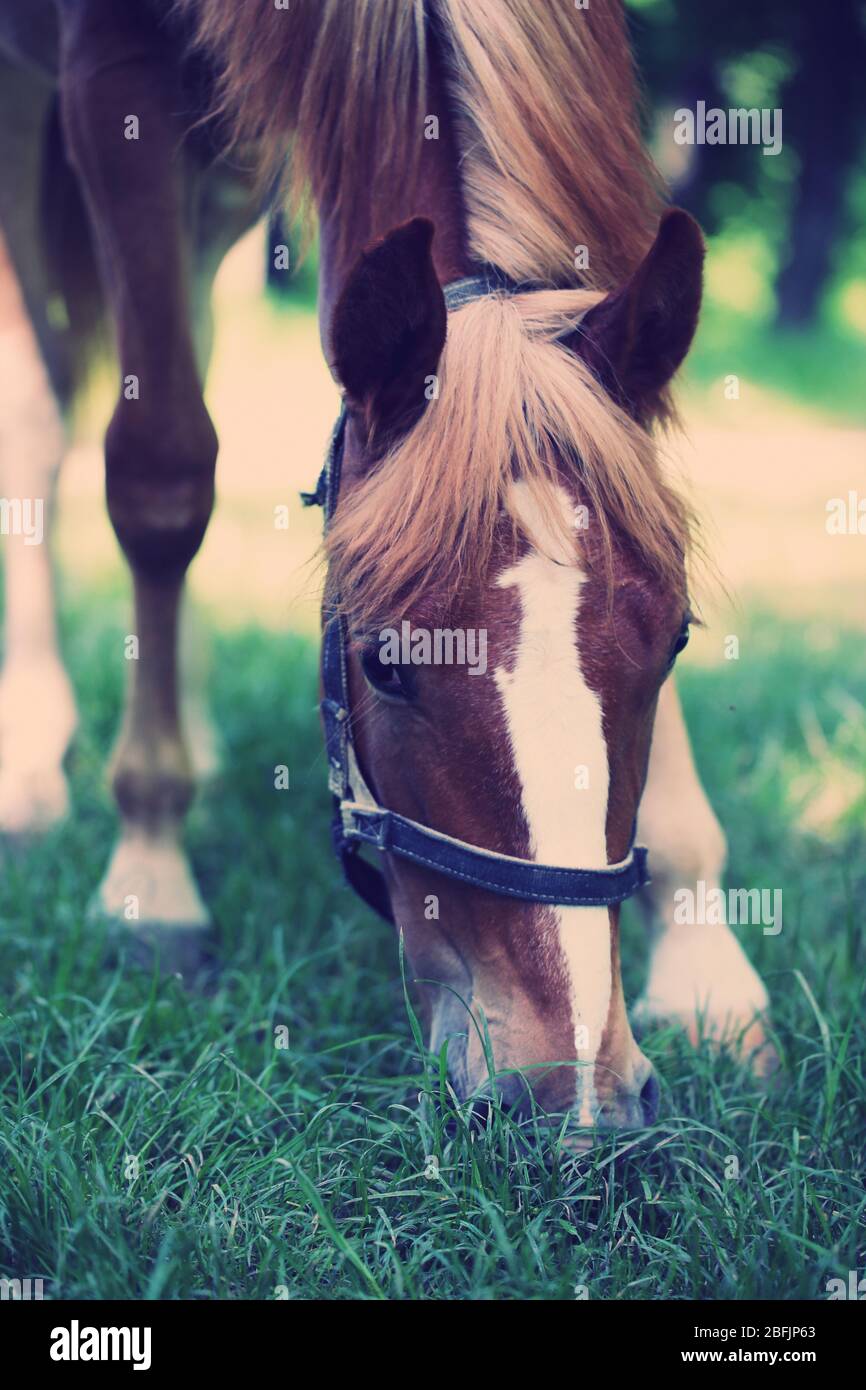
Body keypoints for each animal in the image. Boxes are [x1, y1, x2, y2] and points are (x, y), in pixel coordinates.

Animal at [0, 0, 773, 1130]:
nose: (574, 1093)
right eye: (383, 664)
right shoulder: (110, 67)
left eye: (676, 639)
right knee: (43, 412)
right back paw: (38, 758)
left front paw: (702, 951)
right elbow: (160, 474)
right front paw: (151, 868)